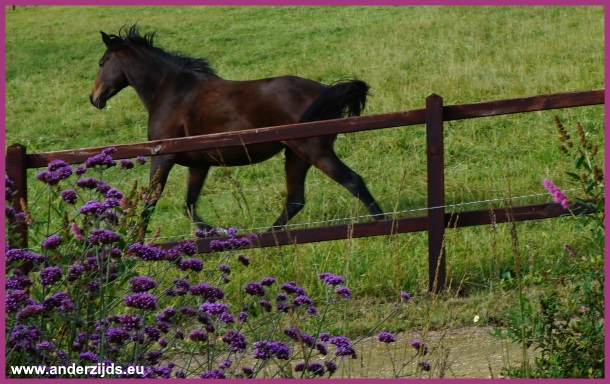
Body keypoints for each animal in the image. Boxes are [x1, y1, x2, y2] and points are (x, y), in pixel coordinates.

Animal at [88, 26, 382, 234]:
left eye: (102, 62)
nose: (94, 98)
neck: (171, 91)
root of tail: (325, 90)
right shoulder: (199, 164)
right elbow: (189, 204)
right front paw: (214, 232)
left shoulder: (163, 157)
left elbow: (151, 200)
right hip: (296, 156)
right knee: (295, 200)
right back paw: (265, 236)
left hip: (314, 152)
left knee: (353, 182)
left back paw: (383, 223)